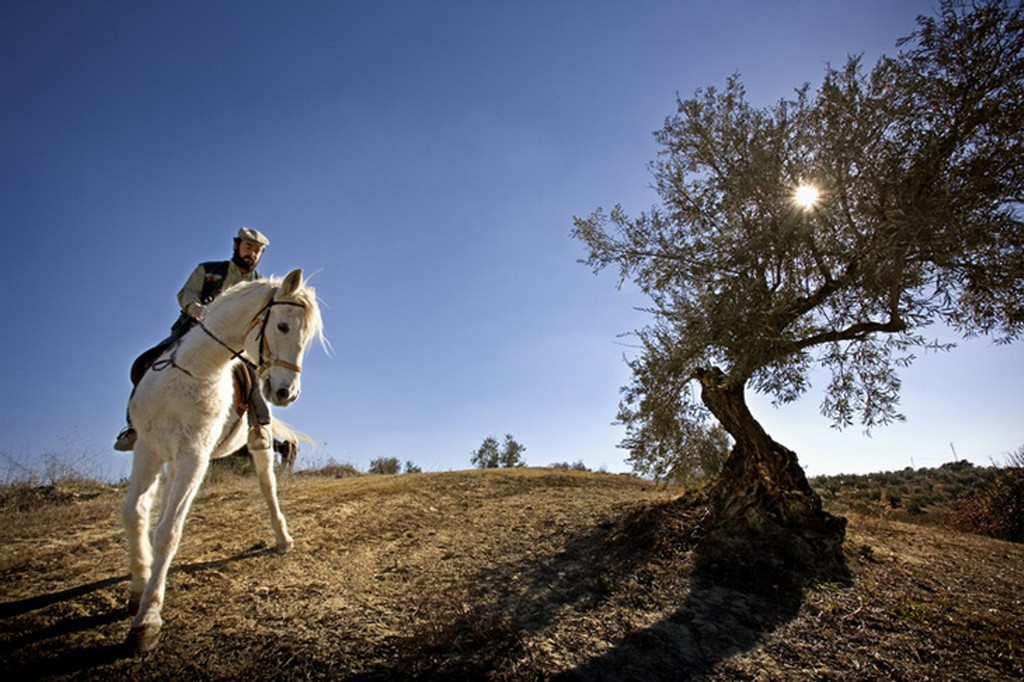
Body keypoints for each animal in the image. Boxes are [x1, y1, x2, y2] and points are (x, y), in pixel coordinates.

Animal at [122, 268, 323, 651]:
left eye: (307, 339)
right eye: (283, 326)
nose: (286, 393)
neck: (191, 372)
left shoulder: (194, 457)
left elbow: (168, 532)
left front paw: (148, 619)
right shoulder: (148, 449)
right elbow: (135, 514)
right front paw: (140, 587)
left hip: (256, 445)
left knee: (268, 487)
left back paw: (282, 537)